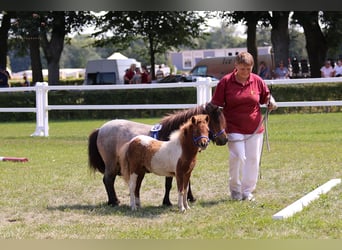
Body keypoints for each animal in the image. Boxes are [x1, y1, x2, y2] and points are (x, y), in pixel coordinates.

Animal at [88, 102, 227, 206]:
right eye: (215, 121)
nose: (224, 139)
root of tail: (100, 129)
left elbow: (186, 182)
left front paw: (190, 197)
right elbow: (169, 184)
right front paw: (167, 201)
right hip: (111, 163)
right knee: (108, 180)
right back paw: (114, 201)